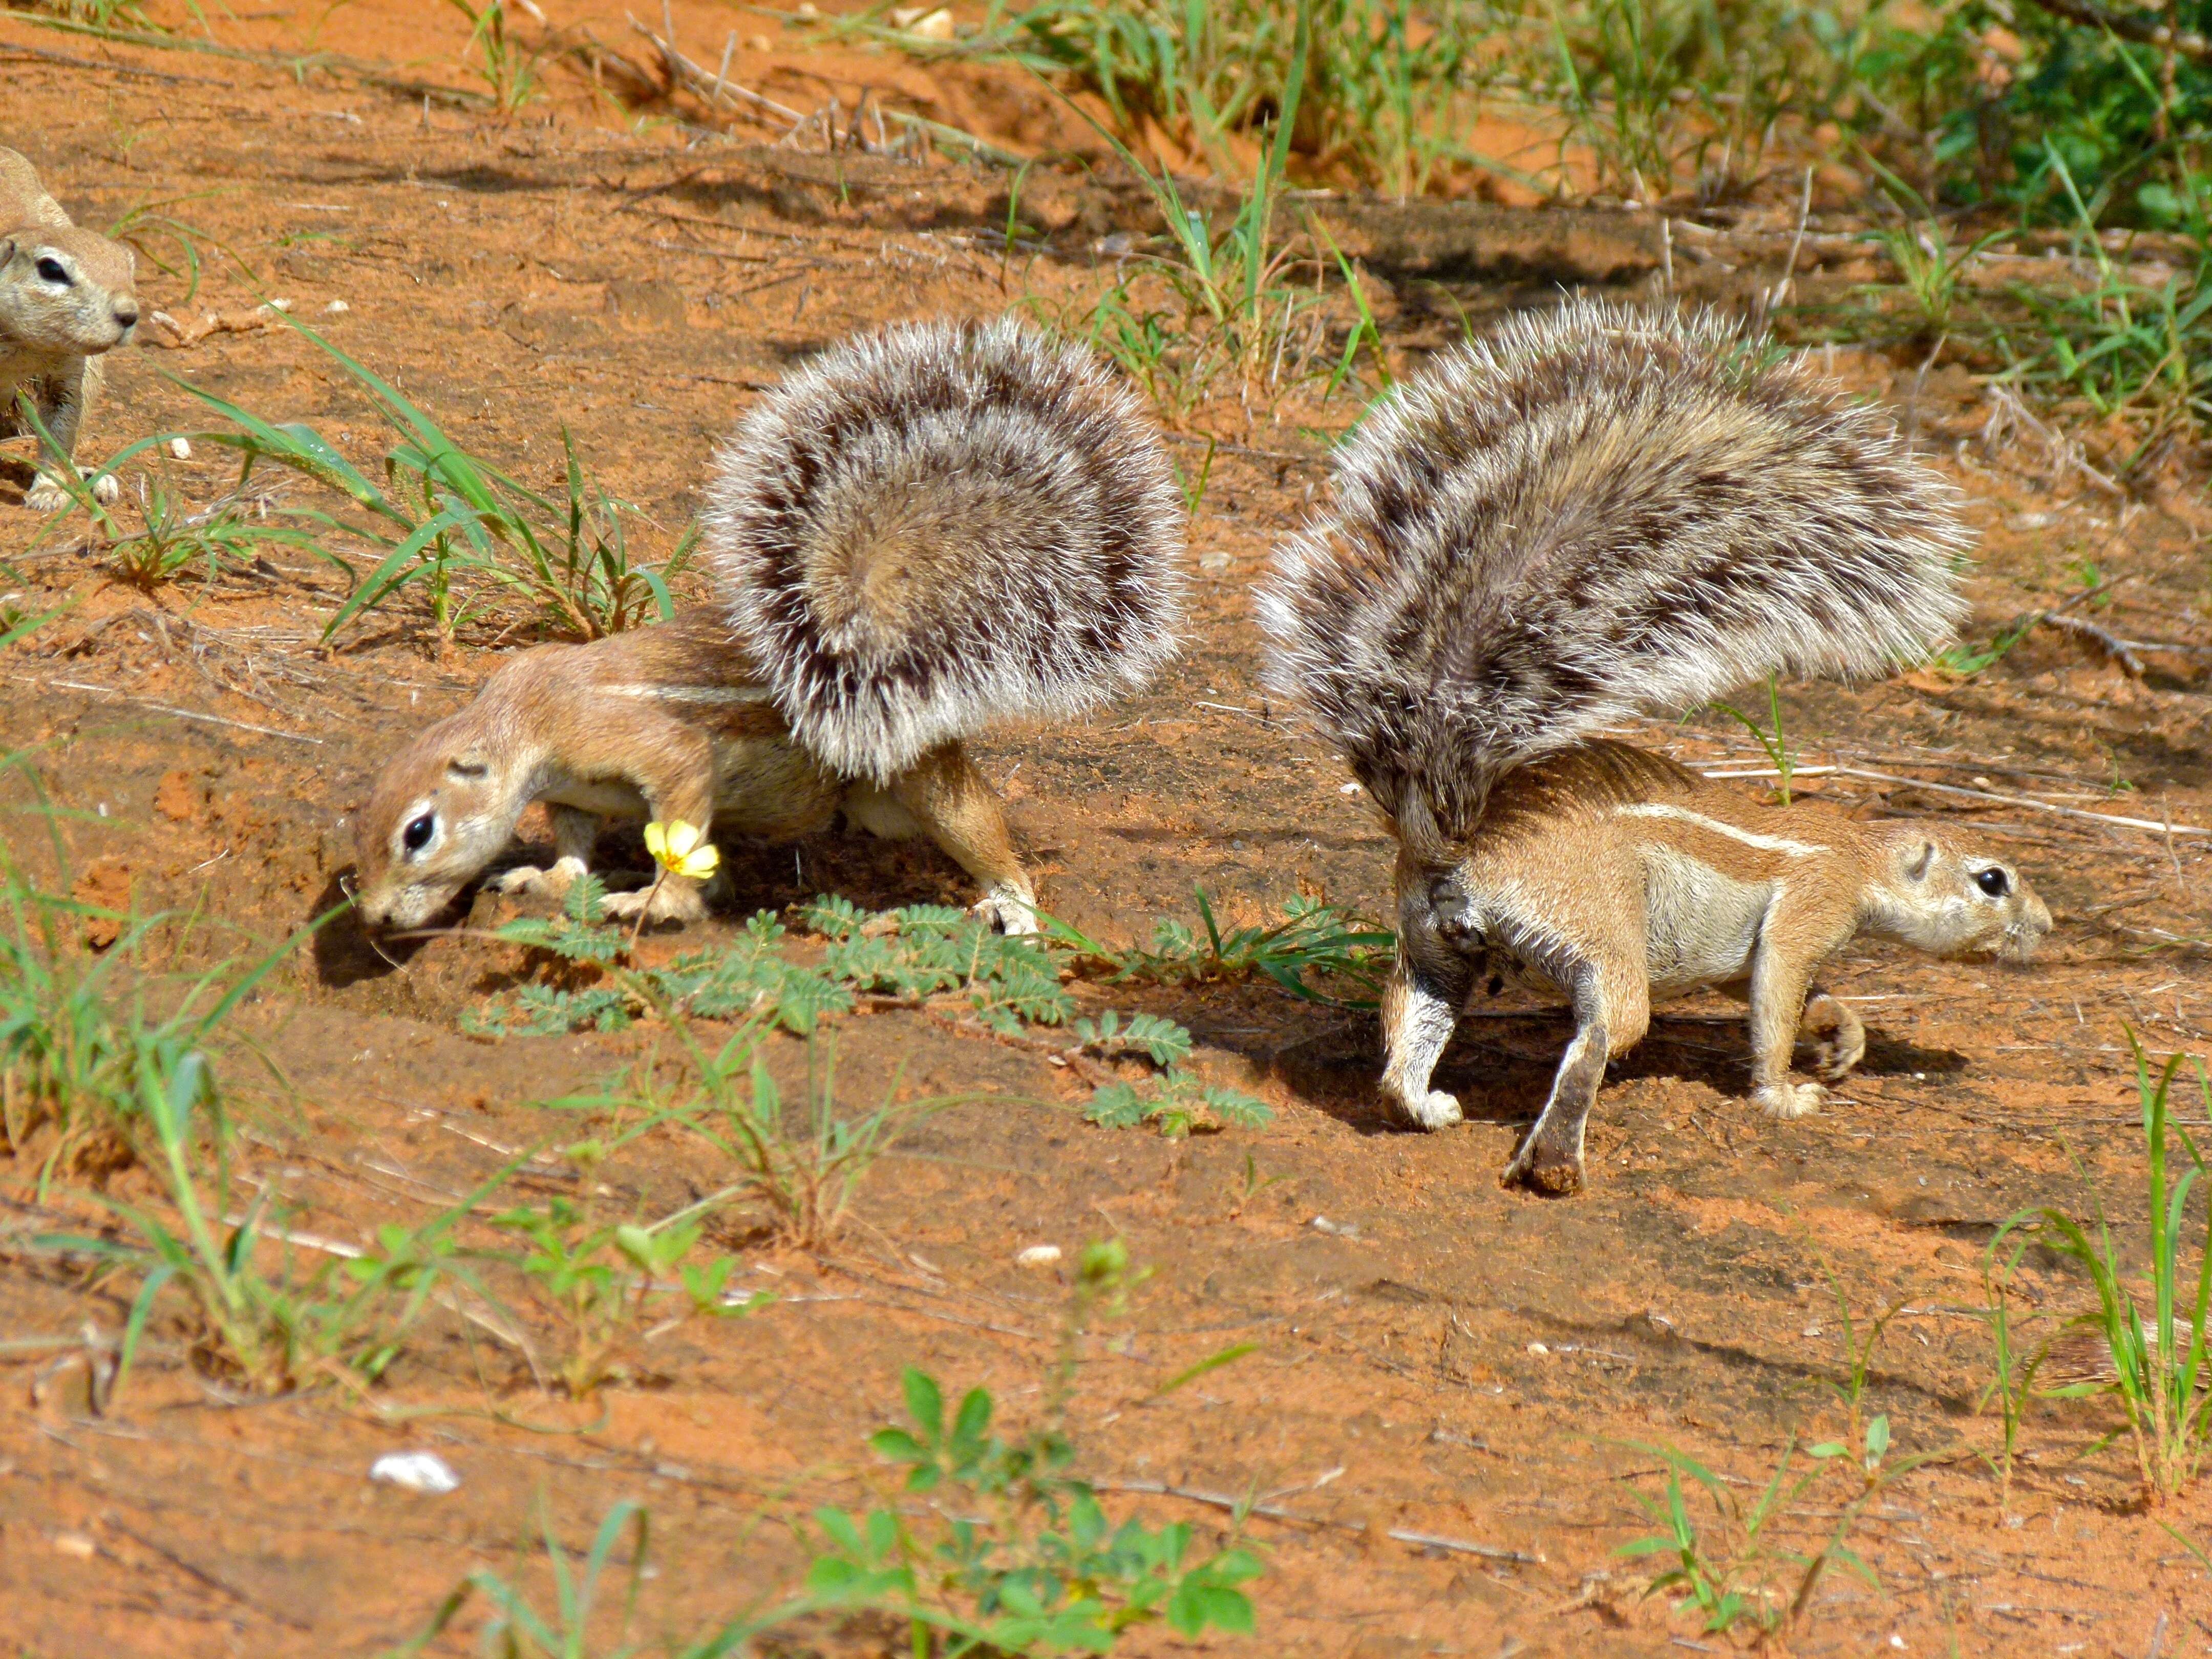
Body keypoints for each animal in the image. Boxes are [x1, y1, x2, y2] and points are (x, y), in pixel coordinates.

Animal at [0, 149, 138, 513]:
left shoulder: (70, 370)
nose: (130, 314)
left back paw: (89, 476)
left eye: (128, 266)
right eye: (51, 269)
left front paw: (49, 489)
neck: (23, 345)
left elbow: (60, 430)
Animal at [354, 312, 1185, 938]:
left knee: (978, 824)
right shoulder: (574, 795)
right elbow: (574, 851)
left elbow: (678, 819)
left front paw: (654, 901)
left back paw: (1013, 904)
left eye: (418, 831)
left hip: (920, 781)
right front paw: (547, 879)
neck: (522, 718)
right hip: (874, 805)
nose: (375, 918)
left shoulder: (644, 746)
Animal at [1265, 303, 2052, 1194]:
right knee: (1599, 1038)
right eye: (1993, 881)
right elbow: (1777, 1005)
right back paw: (1555, 1162)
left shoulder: (1764, 954)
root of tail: (1456, 836)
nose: (2046, 924)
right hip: (1597, 932)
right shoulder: (1809, 910)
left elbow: (1802, 997)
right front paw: (1784, 1094)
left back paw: (1429, 1107)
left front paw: (1844, 1037)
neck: (1861, 854)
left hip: (1435, 947)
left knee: (1410, 1032)